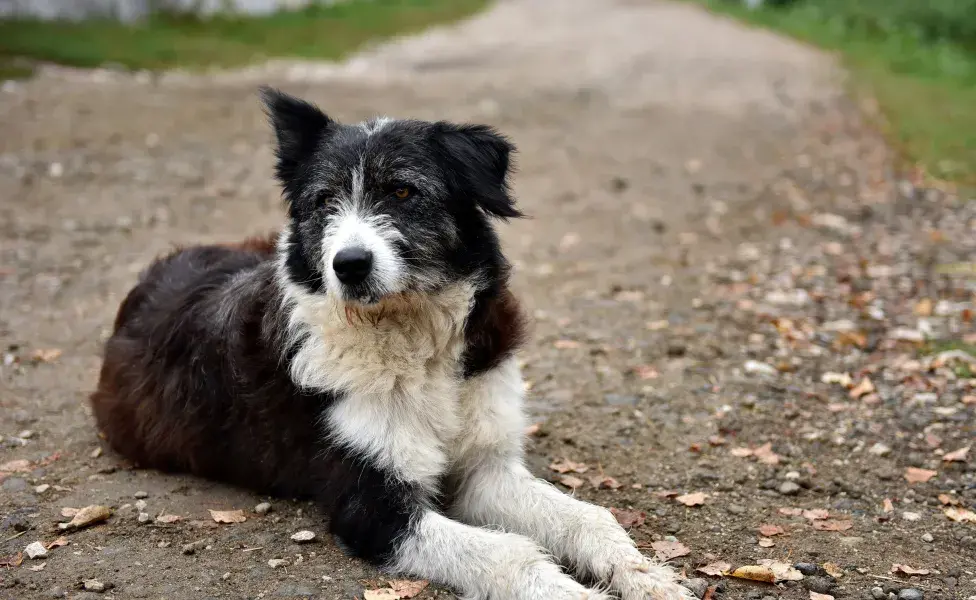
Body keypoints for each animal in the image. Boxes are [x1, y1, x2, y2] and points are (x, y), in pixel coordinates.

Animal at [91, 89, 692, 600]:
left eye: (403, 191)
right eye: (325, 200)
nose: (349, 265)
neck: (409, 336)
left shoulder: (485, 471)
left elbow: (589, 516)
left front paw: (644, 574)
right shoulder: (373, 508)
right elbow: (509, 554)